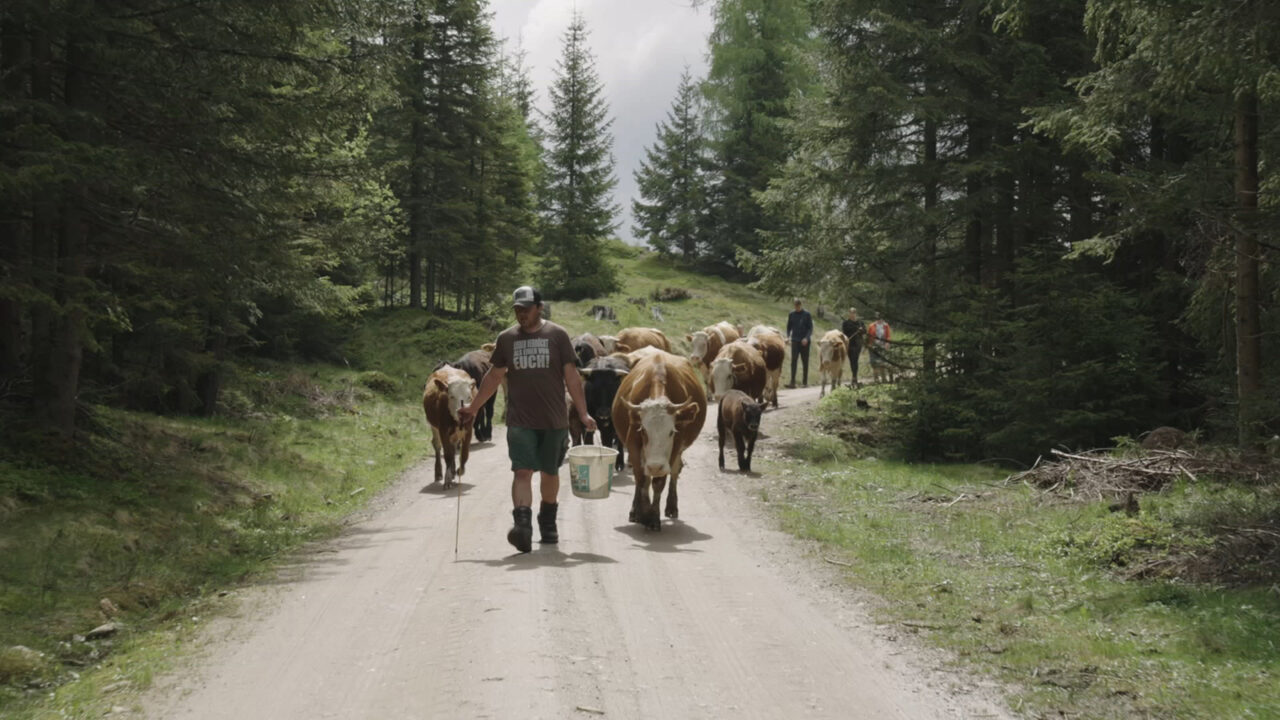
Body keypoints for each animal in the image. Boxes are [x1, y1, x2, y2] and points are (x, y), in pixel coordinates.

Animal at [611, 351, 711, 530]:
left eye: (671, 432)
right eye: (644, 431)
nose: (655, 466)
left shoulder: (675, 447)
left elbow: (659, 482)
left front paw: (652, 517)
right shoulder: (633, 444)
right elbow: (641, 478)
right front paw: (642, 512)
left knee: (675, 471)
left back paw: (671, 506)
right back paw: (636, 510)